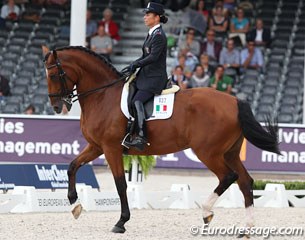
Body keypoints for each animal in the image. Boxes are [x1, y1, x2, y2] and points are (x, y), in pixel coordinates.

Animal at [41, 46, 280, 233]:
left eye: (53, 76)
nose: (57, 106)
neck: (102, 96)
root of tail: (235, 101)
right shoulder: (96, 146)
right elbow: (72, 166)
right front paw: (74, 206)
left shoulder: (110, 148)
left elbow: (120, 184)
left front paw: (121, 222)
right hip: (229, 152)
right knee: (245, 182)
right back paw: (246, 229)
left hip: (208, 152)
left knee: (228, 177)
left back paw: (206, 212)